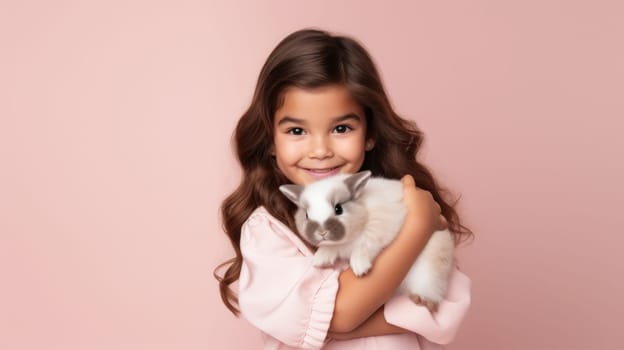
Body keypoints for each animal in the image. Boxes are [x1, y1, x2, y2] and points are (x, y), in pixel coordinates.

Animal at [280, 171, 456, 310]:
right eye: (306, 215)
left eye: (338, 209)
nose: (322, 232)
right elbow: (329, 248)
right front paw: (320, 259)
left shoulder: (379, 228)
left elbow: (365, 246)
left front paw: (360, 268)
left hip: (431, 268)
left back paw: (423, 298)